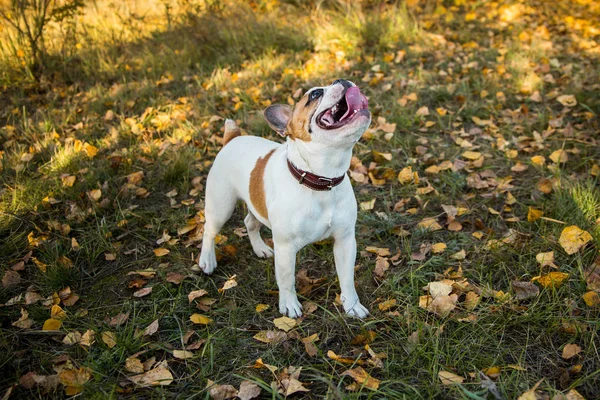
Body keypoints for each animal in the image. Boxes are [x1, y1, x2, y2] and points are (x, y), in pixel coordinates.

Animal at [199, 79, 370, 318]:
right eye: (315, 94)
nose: (342, 81)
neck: (321, 180)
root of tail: (232, 138)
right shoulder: (286, 248)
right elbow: (287, 280)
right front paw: (289, 305)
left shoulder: (345, 241)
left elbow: (347, 278)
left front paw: (352, 305)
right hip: (221, 205)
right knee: (210, 230)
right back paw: (207, 259)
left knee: (250, 223)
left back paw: (260, 248)